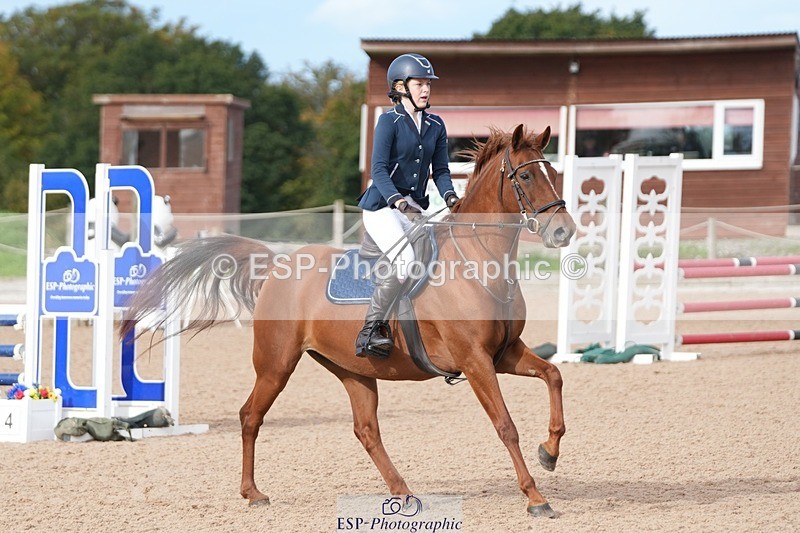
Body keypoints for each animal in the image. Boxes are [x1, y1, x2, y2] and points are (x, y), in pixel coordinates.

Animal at [122, 124, 577, 518]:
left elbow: (554, 376)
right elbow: (506, 425)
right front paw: (536, 497)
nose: (563, 231)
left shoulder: (505, 353)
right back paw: (253, 493)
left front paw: (550, 452)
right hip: (276, 365)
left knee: (366, 430)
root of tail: (278, 264)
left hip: (353, 369)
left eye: (553, 173)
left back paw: (404, 493)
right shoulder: (475, 360)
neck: (478, 261)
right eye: (526, 176)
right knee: (251, 416)